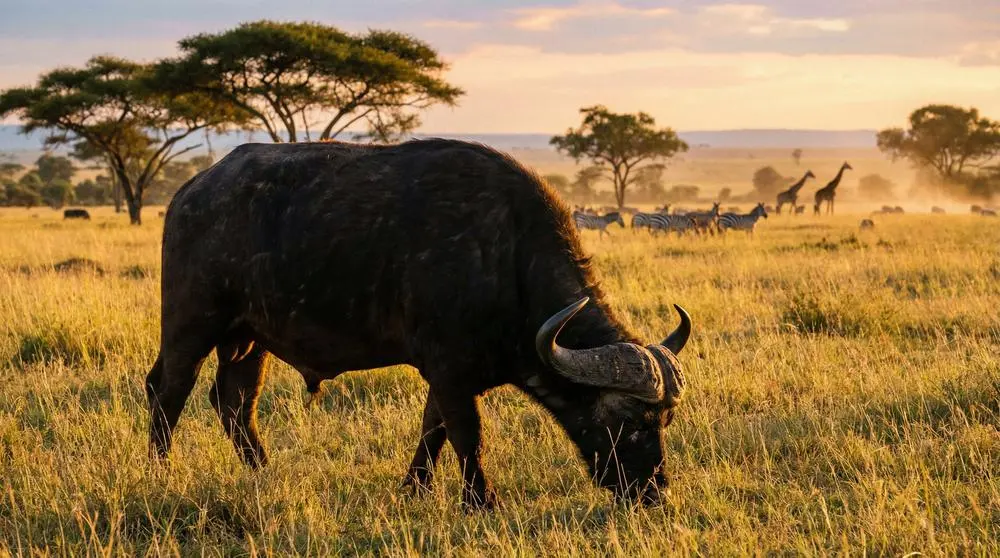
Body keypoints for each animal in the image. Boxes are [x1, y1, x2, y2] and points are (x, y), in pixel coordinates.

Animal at [146, 140, 691, 510]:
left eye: (665, 420)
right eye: (627, 422)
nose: (652, 492)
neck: (507, 260)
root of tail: (191, 192)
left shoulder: (446, 376)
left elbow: (434, 431)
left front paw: (414, 488)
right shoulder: (450, 371)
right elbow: (468, 436)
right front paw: (481, 502)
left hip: (248, 338)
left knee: (235, 402)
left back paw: (261, 471)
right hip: (192, 323)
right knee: (167, 389)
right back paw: (161, 471)